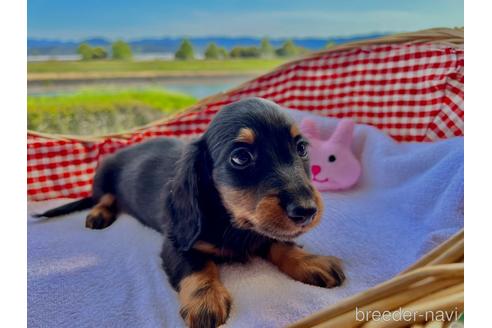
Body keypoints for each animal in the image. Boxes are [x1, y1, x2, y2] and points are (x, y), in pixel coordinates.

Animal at [36, 97, 344, 328]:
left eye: (301, 148)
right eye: (240, 157)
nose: (306, 211)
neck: (231, 221)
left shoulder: (262, 229)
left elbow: (279, 243)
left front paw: (309, 261)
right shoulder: (176, 242)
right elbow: (197, 265)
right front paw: (205, 299)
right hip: (104, 175)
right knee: (105, 198)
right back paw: (99, 215)